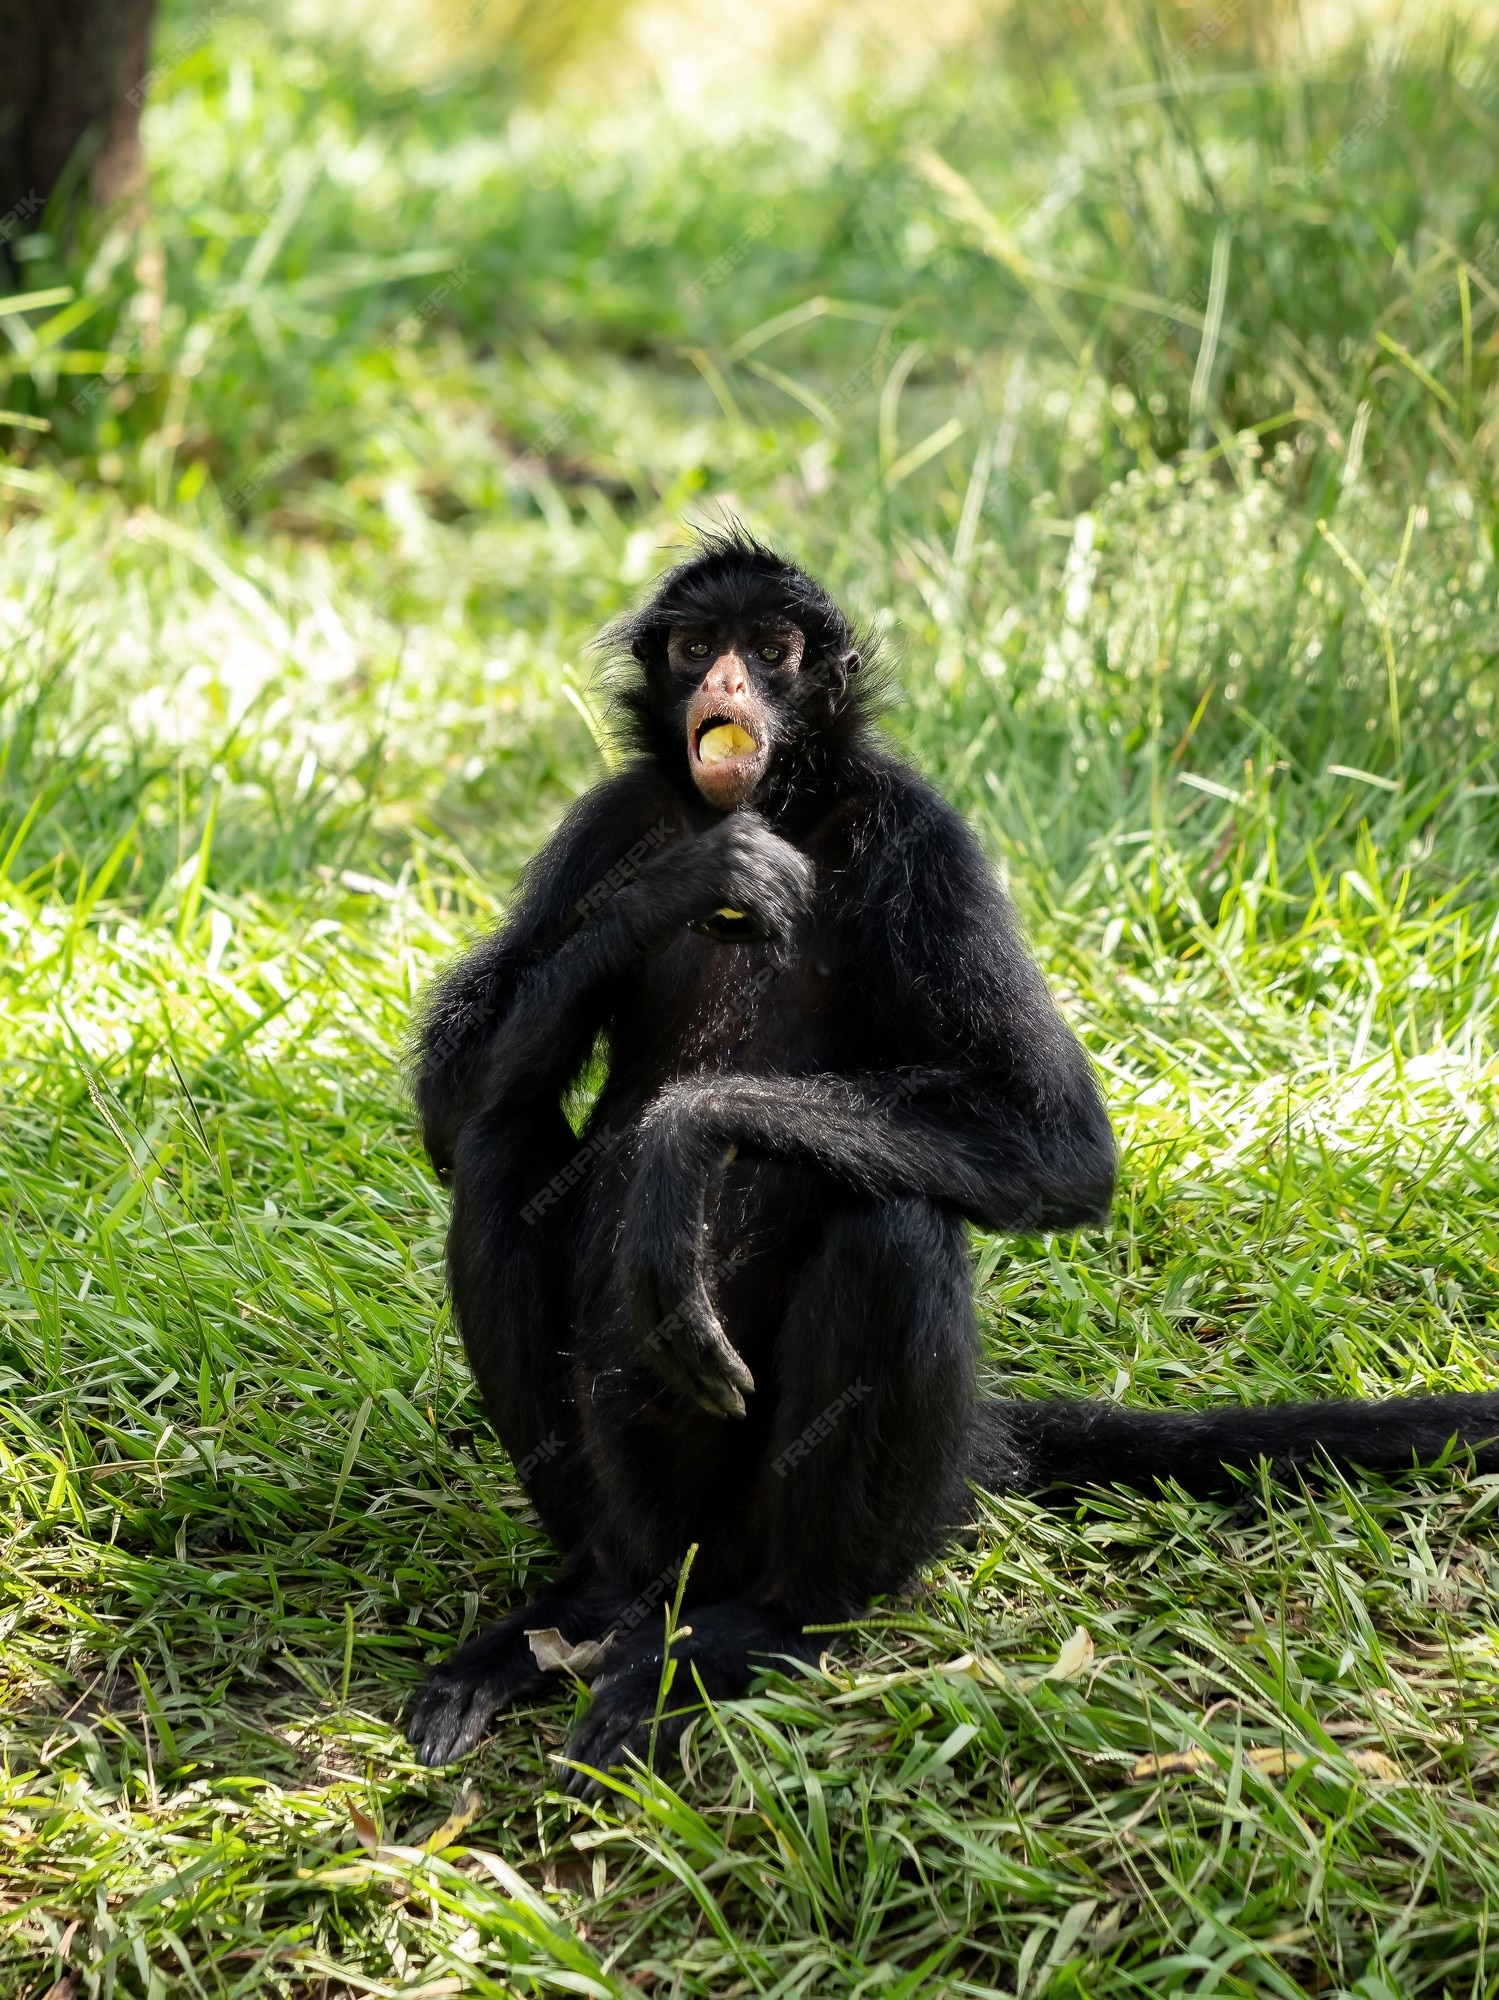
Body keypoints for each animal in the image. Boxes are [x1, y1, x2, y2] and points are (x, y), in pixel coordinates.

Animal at [407, 528, 1499, 1784]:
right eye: (693, 648)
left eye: (770, 648)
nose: (724, 682)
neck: (789, 808)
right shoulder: (614, 814)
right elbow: (448, 1103)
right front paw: (692, 881)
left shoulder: (915, 825)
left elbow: (1057, 1140)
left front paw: (681, 1146)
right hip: (645, 1505)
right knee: (504, 1144)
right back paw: (587, 1604)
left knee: (889, 1217)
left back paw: (761, 1624)